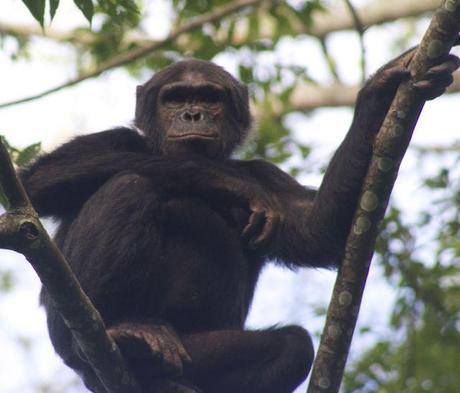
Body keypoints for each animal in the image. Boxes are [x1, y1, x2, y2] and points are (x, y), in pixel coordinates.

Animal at [20, 49, 460, 392]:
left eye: (209, 98)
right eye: (174, 98)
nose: (192, 114)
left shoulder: (268, 173)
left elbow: (315, 230)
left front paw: (381, 88)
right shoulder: (115, 140)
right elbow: (40, 181)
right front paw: (228, 185)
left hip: (195, 349)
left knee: (293, 347)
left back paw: (157, 374)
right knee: (129, 186)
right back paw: (120, 334)